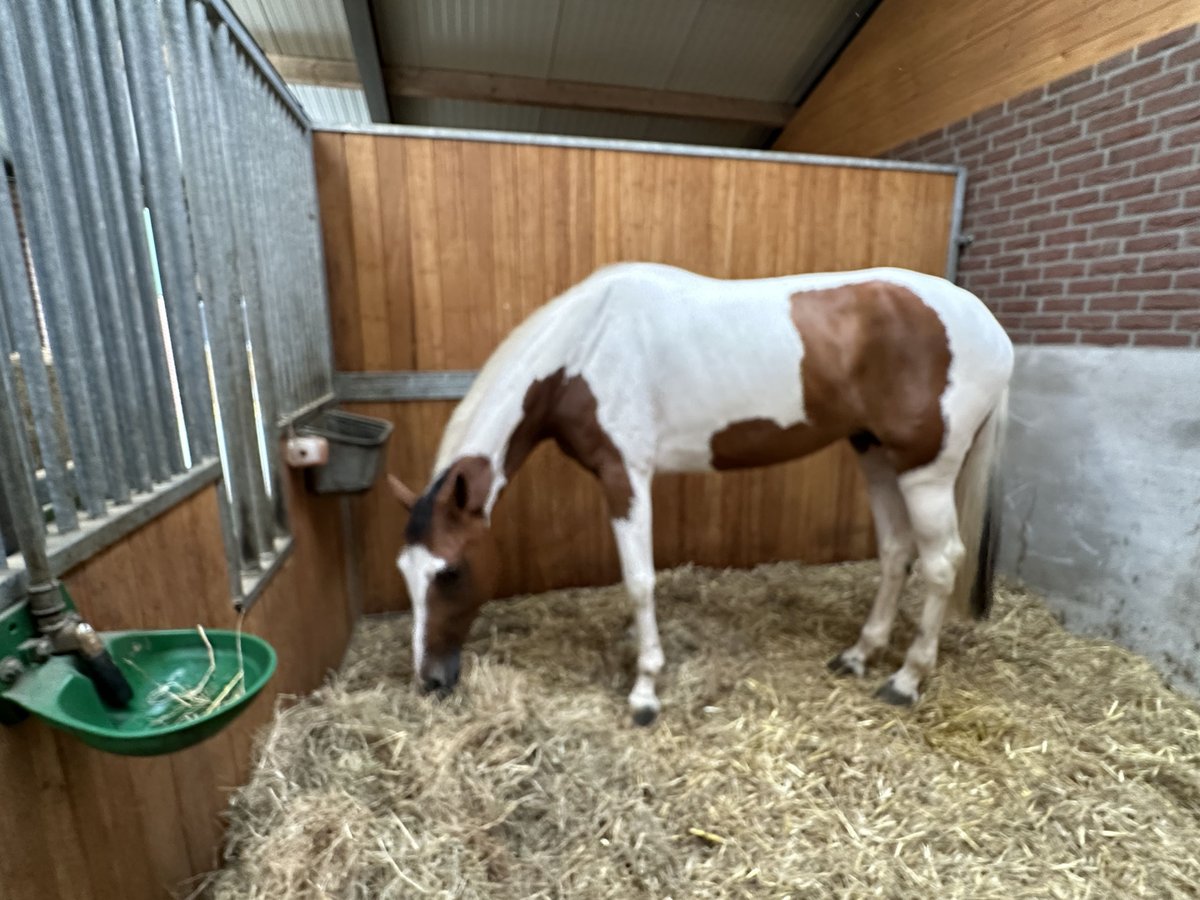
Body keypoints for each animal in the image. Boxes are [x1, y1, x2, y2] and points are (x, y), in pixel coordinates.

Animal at [386, 260, 1012, 724]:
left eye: (451, 572)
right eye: (405, 573)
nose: (430, 681)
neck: (585, 347)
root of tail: (991, 328)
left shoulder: (626, 475)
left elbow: (639, 581)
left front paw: (645, 690)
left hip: (924, 471)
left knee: (941, 562)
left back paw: (907, 679)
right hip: (876, 456)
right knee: (895, 552)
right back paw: (860, 655)